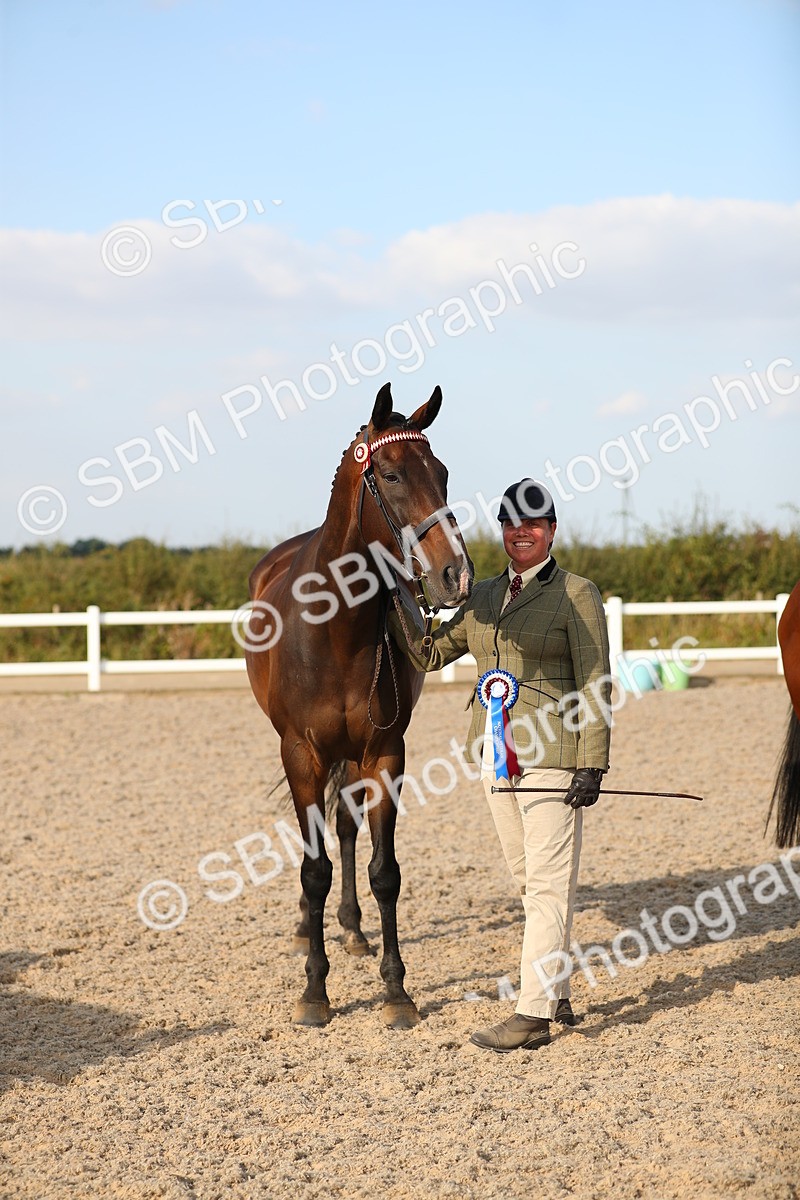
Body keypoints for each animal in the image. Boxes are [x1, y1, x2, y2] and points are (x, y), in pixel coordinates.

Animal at [245, 383, 474, 1028]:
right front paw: (314, 992)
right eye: (391, 475)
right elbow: (313, 868)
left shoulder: (385, 755)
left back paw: (350, 930)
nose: (455, 574)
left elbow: (383, 871)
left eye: (443, 474)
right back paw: (310, 929)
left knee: (345, 829)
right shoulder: (301, 756)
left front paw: (396, 991)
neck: (336, 629)